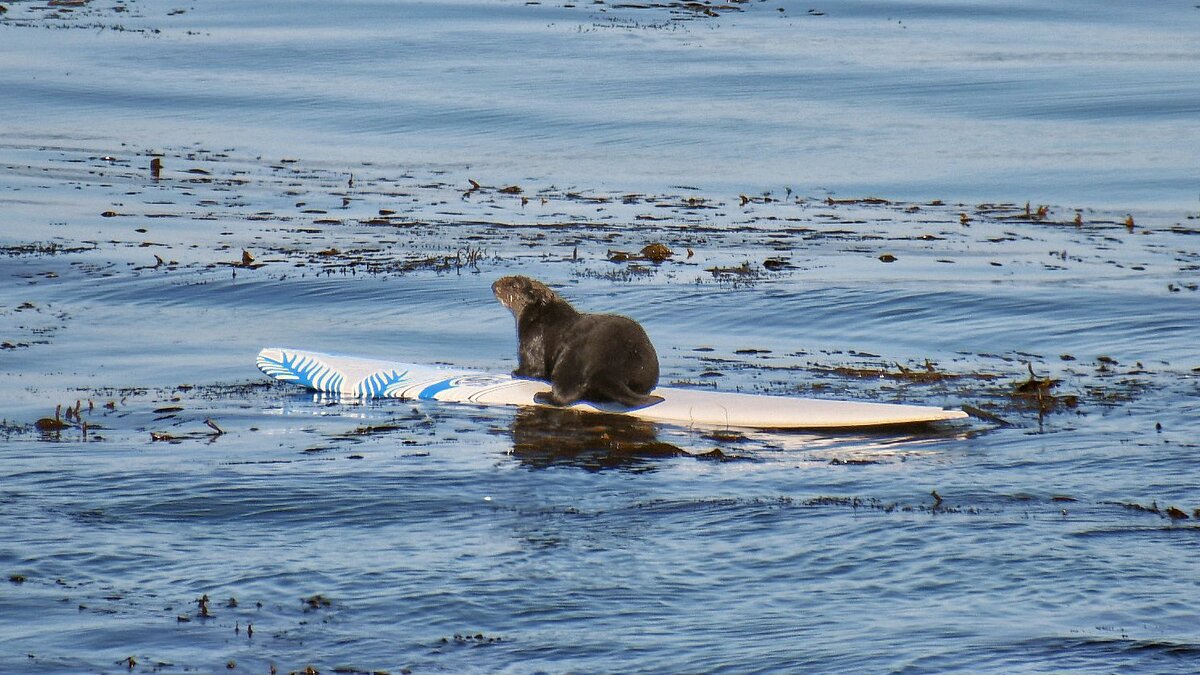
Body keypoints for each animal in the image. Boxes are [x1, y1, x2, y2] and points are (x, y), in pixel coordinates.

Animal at [492, 273, 662, 403]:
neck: (543, 315)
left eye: (513, 285)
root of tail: (610, 368)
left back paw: (542, 395)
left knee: (564, 394)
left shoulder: (532, 339)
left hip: (573, 357)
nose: (494, 285)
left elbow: (533, 369)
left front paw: (516, 372)